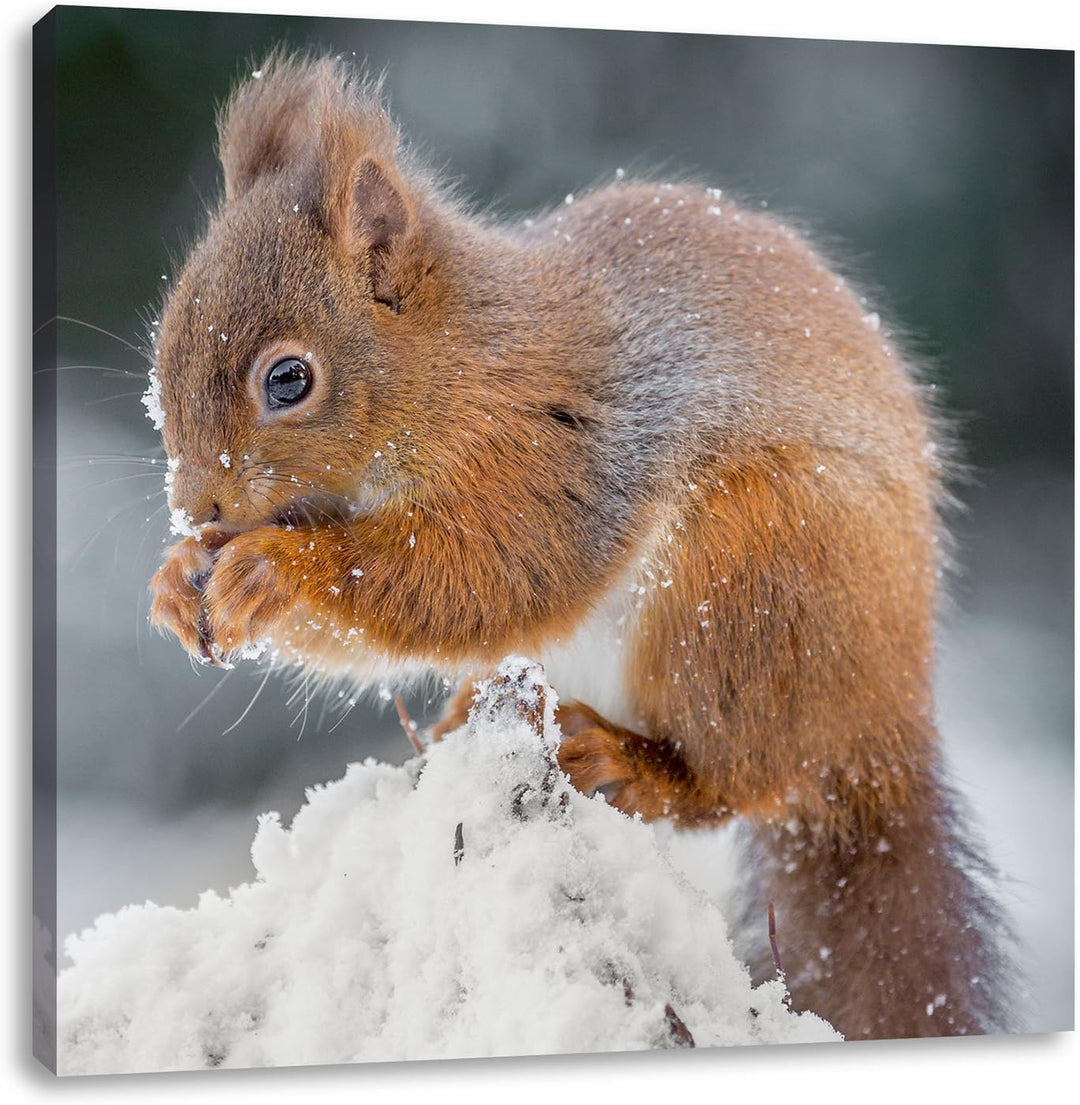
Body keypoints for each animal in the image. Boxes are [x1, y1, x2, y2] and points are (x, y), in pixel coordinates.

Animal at [148, 54, 1011, 1040]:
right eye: (163, 345)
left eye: (289, 379)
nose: (197, 507)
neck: (458, 363)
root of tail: (885, 725)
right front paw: (179, 582)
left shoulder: (554, 456)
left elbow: (482, 576)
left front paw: (273, 570)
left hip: (753, 586)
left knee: (736, 778)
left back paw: (629, 762)